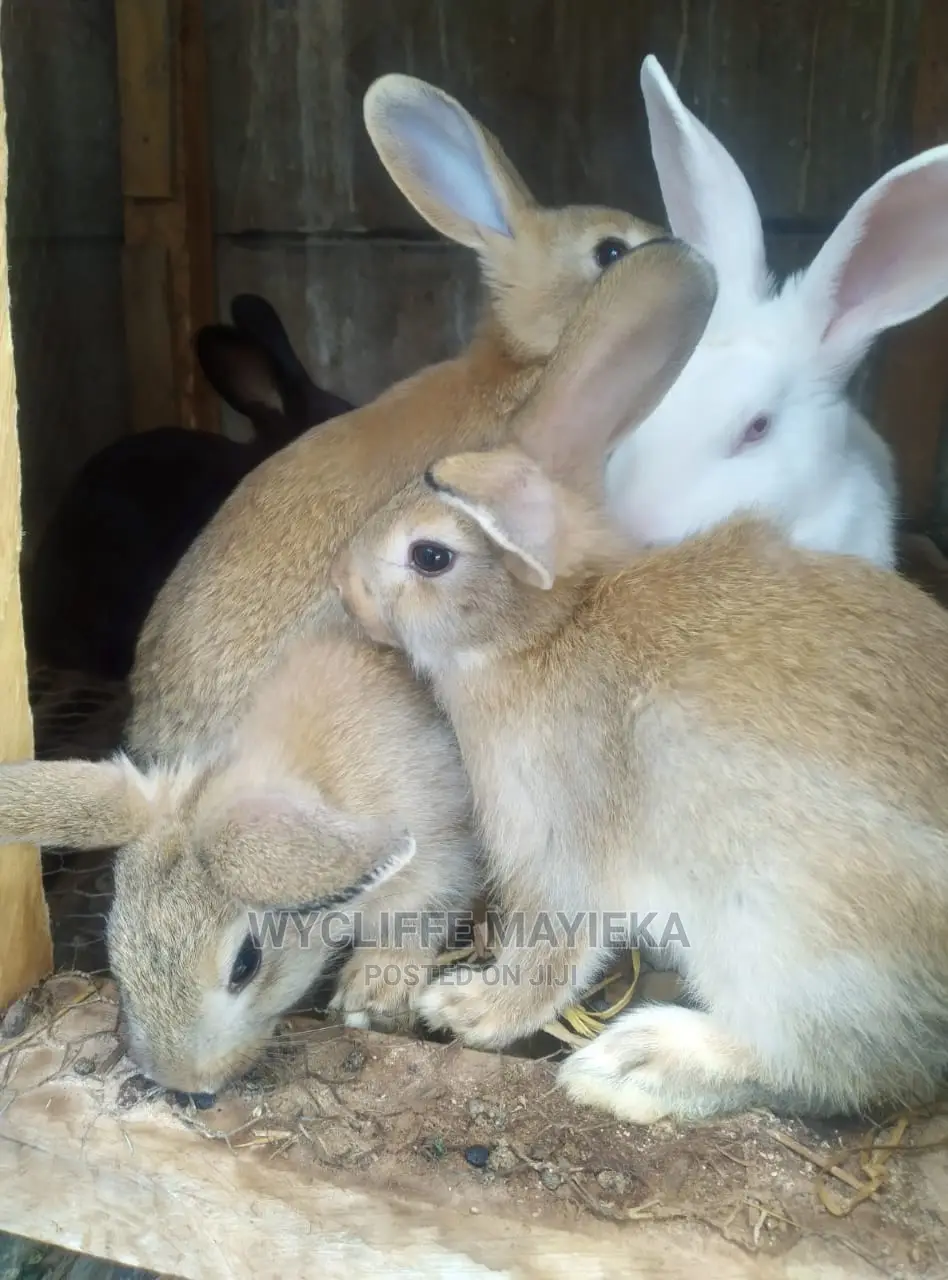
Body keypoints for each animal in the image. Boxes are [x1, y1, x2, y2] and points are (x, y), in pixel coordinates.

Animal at [0, 627, 480, 1096]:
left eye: (246, 964)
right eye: (116, 941)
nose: (185, 1083)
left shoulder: (442, 859)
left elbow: (423, 916)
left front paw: (373, 991)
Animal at [331, 238, 948, 1126]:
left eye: (431, 556)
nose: (343, 590)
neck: (544, 632)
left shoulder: (557, 843)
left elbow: (553, 948)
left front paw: (469, 1008)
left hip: (786, 932)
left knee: (831, 1064)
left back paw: (634, 1065)